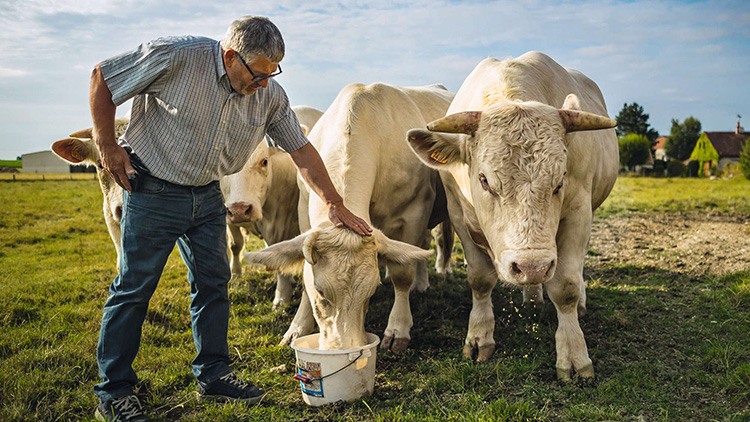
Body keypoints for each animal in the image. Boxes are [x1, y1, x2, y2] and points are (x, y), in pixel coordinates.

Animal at [219, 104, 322, 306]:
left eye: (264, 161)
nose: (240, 210)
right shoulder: (228, 218)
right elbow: (235, 245)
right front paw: (235, 274)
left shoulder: (279, 222)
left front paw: (281, 297)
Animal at [247, 82, 456, 350]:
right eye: (321, 292)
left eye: (370, 293)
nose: (343, 348)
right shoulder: (303, 211)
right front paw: (298, 327)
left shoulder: (415, 210)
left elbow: (403, 275)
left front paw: (398, 328)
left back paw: (422, 282)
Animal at [408, 51, 620, 380]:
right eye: (484, 180)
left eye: (560, 179)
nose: (532, 267)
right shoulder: (458, 215)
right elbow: (480, 279)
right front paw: (478, 337)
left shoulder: (578, 211)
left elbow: (566, 287)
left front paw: (574, 354)